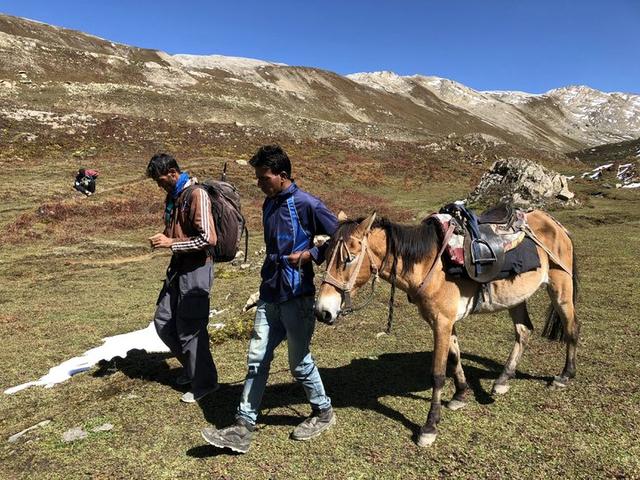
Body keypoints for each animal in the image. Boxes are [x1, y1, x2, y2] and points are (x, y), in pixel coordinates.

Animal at [316, 209, 580, 446]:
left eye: (349, 258)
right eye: (326, 254)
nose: (322, 311)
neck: (429, 265)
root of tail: (555, 223)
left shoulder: (442, 323)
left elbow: (438, 374)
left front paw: (430, 426)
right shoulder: (446, 323)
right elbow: (455, 359)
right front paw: (460, 395)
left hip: (560, 290)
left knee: (572, 329)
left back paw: (565, 376)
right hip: (515, 297)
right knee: (524, 330)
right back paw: (503, 380)